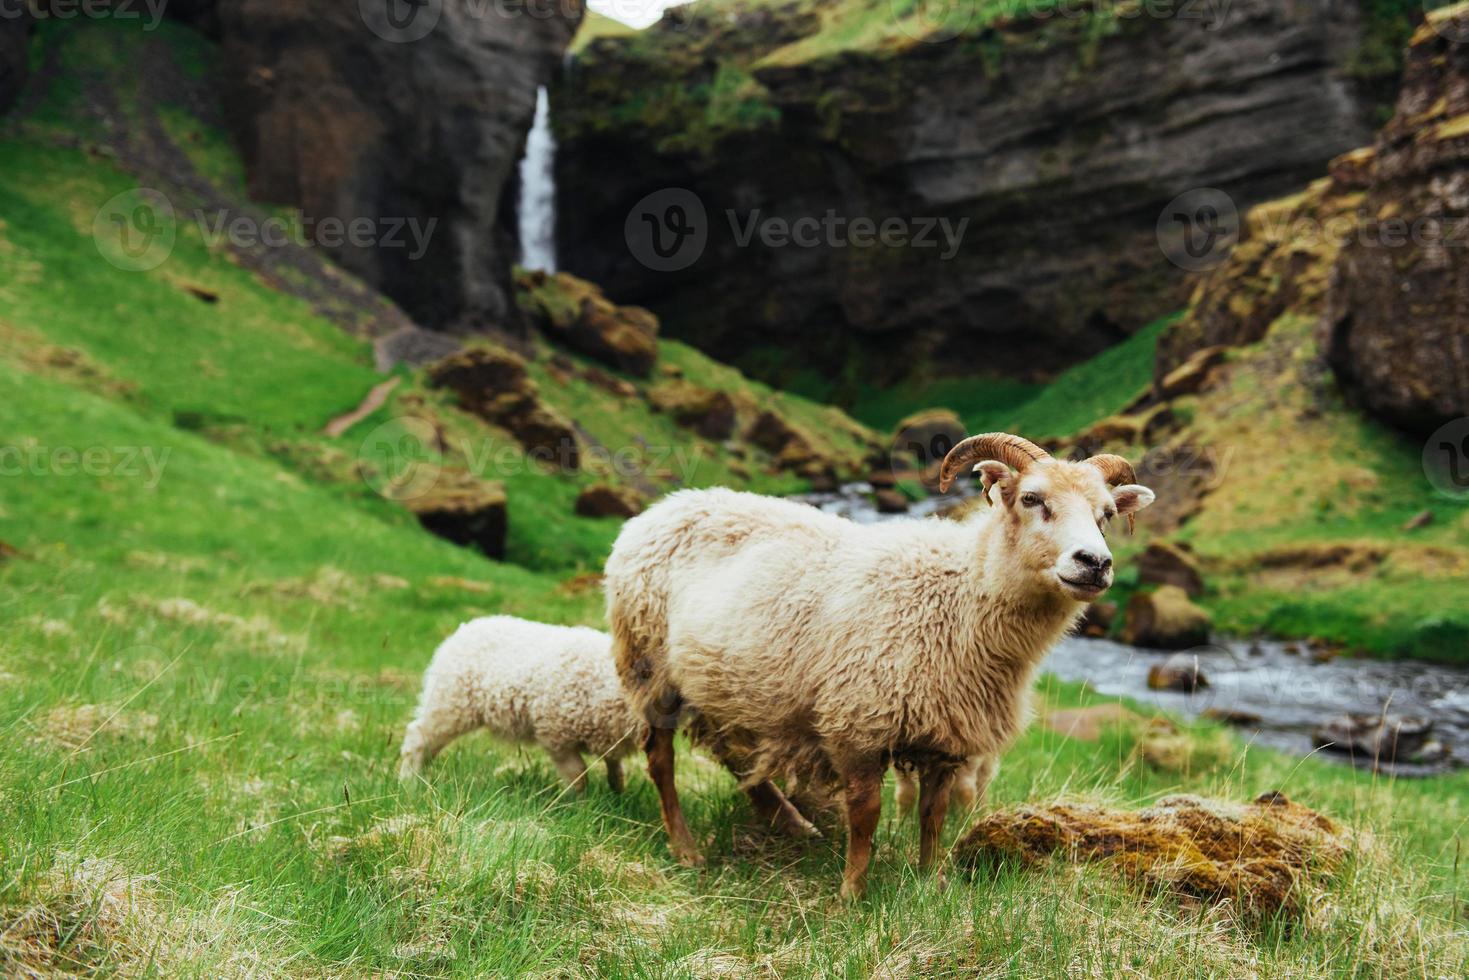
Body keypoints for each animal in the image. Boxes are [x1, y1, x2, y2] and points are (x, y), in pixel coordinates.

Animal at [396, 617, 643, 793]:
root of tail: (464, 629)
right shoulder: (555, 737)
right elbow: (578, 776)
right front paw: (581, 806)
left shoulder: (609, 734)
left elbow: (614, 765)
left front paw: (617, 792)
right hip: (450, 703)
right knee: (417, 736)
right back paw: (409, 783)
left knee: (428, 745)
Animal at [602, 431, 1151, 899]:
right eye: (1032, 499)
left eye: (1105, 514)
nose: (1094, 562)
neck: (959, 596)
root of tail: (661, 508)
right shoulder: (858, 723)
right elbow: (866, 815)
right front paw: (852, 895)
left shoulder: (947, 737)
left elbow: (933, 817)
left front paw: (931, 883)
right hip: (649, 665)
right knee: (661, 761)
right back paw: (686, 847)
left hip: (724, 682)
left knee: (731, 751)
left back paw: (788, 822)